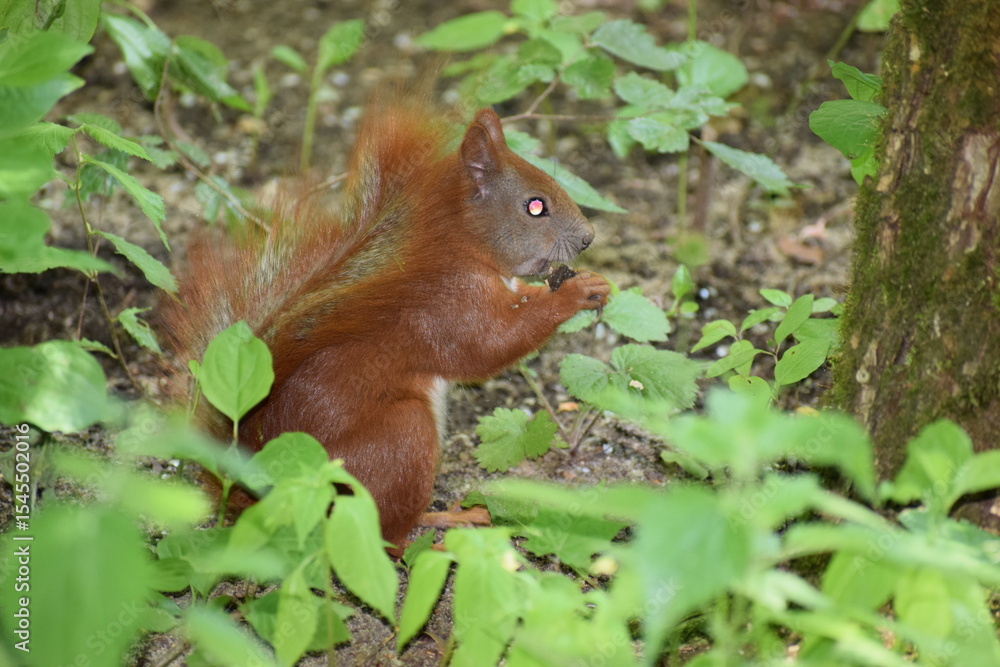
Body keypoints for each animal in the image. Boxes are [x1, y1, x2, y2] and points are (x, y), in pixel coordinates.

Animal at [163, 101, 611, 548]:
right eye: (535, 206)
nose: (589, 238)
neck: (463, 250)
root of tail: (274, 496)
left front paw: (590, 283)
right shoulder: (447, 306)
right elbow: (490, 345)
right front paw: (575, 293)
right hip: (401, 438)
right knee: (386, 537)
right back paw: (442, 530)